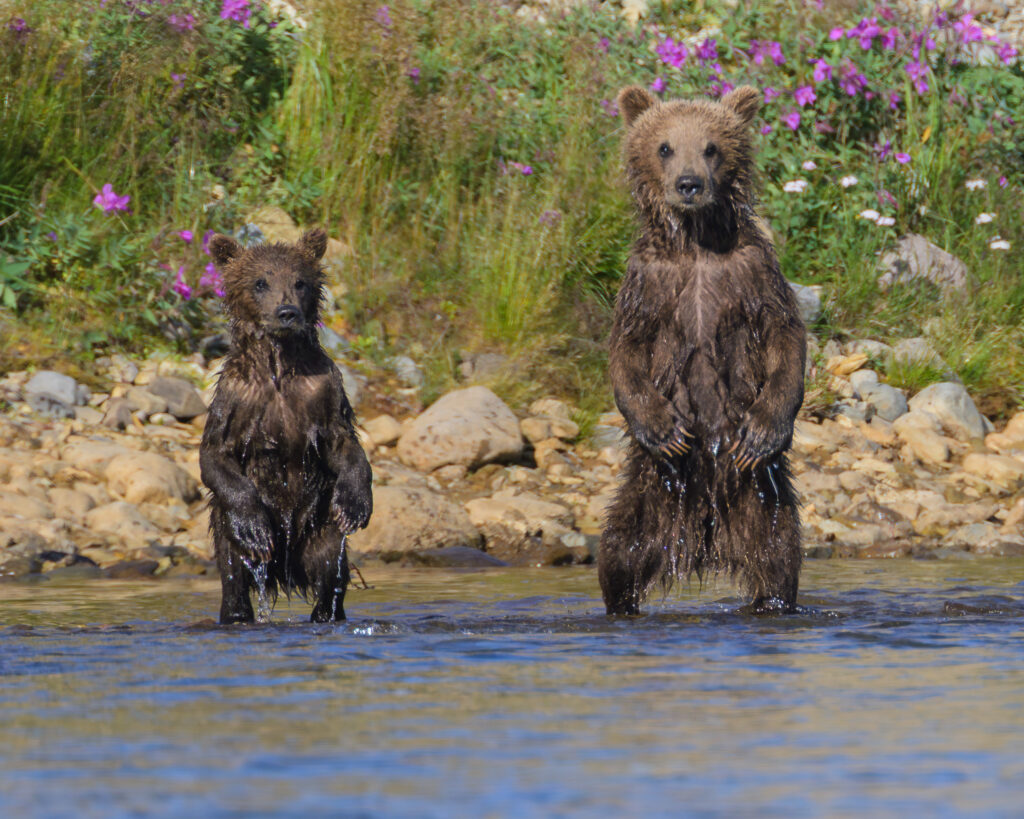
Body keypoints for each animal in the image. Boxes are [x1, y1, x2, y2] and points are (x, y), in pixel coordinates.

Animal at [200, 228, 372, 624]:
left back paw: (326, 611)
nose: (287, 312)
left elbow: (344, 446)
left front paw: (354, 504)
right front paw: (254, 526)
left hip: (319, 532)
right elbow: (215, 456)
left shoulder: (322, 394)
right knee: (234, 584)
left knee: (330, 577)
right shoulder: (235, 401)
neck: (278, 367)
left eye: (300, 282)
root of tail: (285, 571)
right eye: (260, 282)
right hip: (230, 544)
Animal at [598, 85, 806, 615]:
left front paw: (763, 430)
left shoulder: (753, 273)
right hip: (651, 491)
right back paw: (619, 601)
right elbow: (626, 352)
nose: (689, 184)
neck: (693, 243)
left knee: (779, 557)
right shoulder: (646, 285)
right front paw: (662, 428)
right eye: (664, 146)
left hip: (761, 500)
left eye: (711, 146)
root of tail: (704, 538)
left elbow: (786, 337)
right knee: (618, 552)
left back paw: (772, 599)